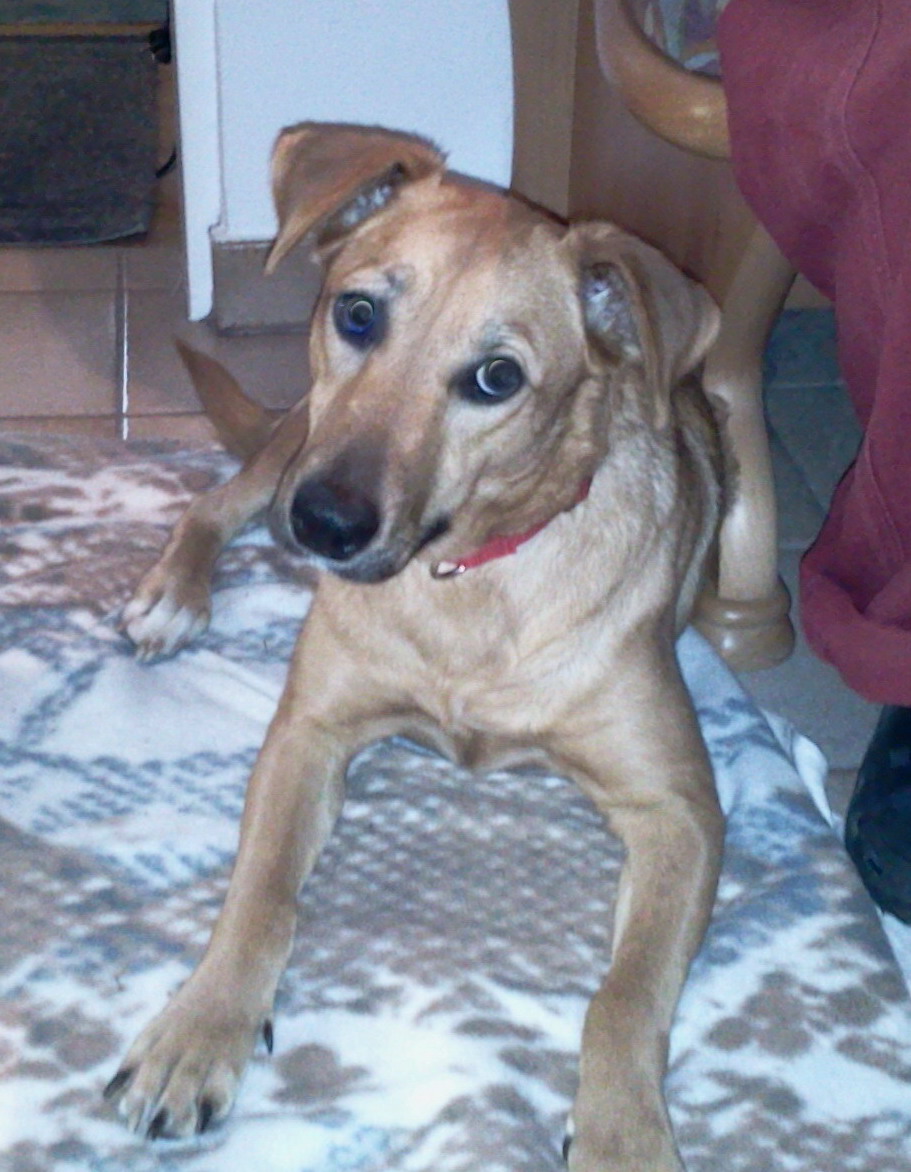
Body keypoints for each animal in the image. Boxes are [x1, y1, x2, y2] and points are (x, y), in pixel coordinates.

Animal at [104, 123, 726, 1172]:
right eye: (358, 313)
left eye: (496, 378)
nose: (324, 525)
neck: (465, 578)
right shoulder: (308, 734)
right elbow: (260, 900)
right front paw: (200, 1031)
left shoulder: (679, 811)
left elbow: (623, 996)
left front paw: (622, 1134)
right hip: (293, 439)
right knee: (216, 503)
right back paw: (173, 596)